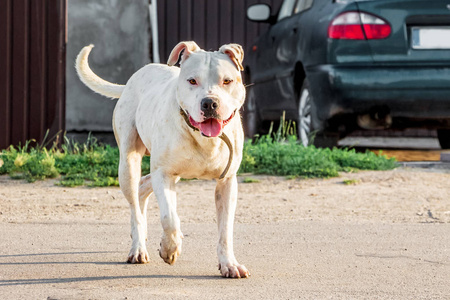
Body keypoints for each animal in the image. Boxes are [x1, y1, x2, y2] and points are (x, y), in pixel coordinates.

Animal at [74, 41, 250, 278]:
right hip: (128, 165)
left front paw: (229, 264)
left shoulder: (227, 182)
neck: (201, 137)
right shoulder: (164, 174)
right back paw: (138, 247)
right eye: (192, 81)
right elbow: (169, 218)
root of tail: (131, 80)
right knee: (136, 205)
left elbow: (225, 230)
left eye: (227, 81)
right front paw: (169, 249)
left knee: (142, 188)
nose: (209, 103)